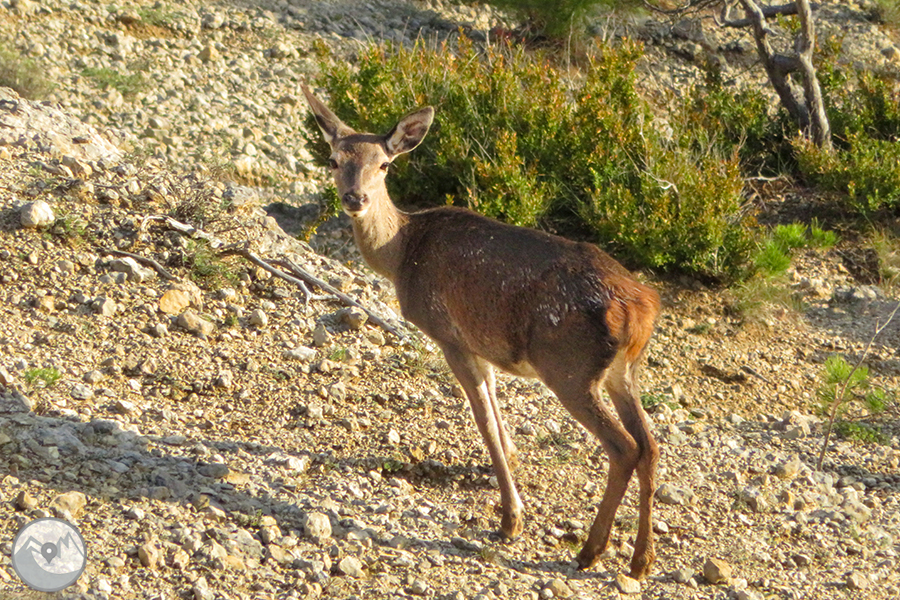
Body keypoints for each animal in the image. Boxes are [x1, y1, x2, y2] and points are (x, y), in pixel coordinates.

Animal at [301, 84, 662, 580]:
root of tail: (642, 309)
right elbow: (495, 409)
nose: (355, 198)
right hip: (622, 371)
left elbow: (484, 422)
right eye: (335, 159)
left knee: (624, 446)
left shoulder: (448, 333)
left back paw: (591, 550)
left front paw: (511, 520)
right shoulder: (481, 344)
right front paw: (511, 471)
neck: (402, 254)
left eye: (385, 164)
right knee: (650, 445)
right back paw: (641, 560)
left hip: (568, 366)